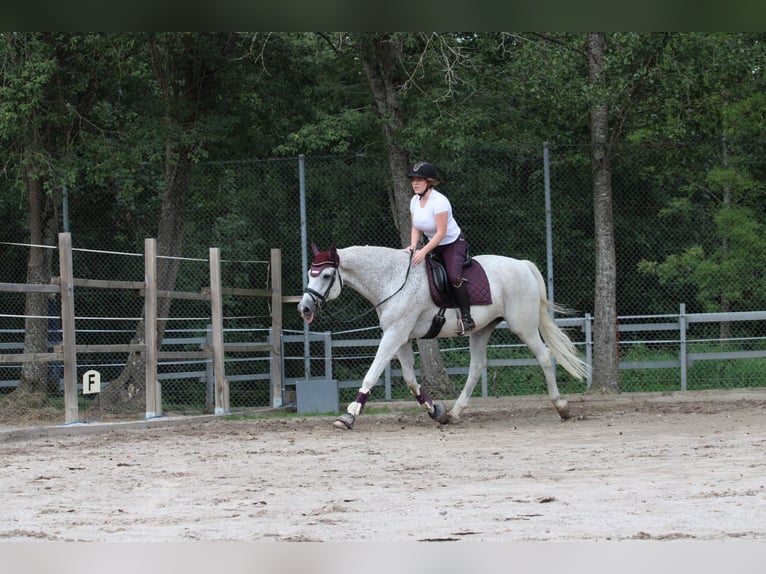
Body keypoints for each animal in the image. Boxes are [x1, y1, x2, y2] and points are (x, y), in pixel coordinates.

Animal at [296, 244, 592, 432]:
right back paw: (455, 413)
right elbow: (410, 379)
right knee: (476, 367)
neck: (391, 279)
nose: (305, 308)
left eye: (326, 275)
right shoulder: (401, 338)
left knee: (544, 357)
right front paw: (435, 410)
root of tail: (522, 265)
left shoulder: (394, 334)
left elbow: (372, 374)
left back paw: (561, 407)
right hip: (482, 329)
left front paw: (349, 416)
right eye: (310, 273)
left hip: (524, 327)